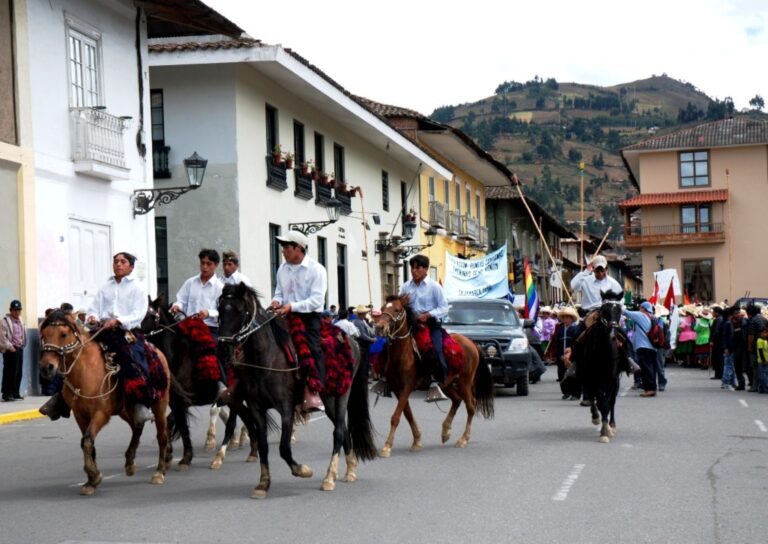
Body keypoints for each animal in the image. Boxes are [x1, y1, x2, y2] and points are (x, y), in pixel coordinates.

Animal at [38, 310, 170, 492]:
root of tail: (157, 351)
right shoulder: (80, 415)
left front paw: (94, 476)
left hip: (160, 405)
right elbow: (88, 443)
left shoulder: (100, 413)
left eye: (63, 334)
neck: (85, 371)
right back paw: (130, 462)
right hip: (125, 410)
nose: (46, 368)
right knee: (137, 427)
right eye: (43, 334)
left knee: (161, 435)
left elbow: (87, 440)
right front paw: (90, 481)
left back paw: (159, 472)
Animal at [138, 296, 258, 470]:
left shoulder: (183, 402)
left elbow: (181, 426)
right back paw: (252, 451)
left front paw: (185, 458)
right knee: (247, 417)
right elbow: (171, 424)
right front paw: (169, 455)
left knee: (233, 423)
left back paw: (219, 457)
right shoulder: (175, 402)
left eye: (149, 316)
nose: (131, 334)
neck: (178, 357)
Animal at [218, 280, 376, 498]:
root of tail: (352, 340)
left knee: (339, 431)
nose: (223, 347)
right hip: (329, 401)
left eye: (240, 311)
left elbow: (284, 447)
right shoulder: (257, 408)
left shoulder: (286, 408)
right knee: (343, 430)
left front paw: (303, 470)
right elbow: (264, 446)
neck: (267, 358)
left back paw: (329, 478)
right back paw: (349, 470)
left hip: (340, 395)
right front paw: (263, 484)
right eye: (219, 310)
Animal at [374, 294, 496, 454]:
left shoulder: (407, 386)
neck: (403, 355)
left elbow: (396, 416)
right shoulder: (397, 389)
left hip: (464, 382)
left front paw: (387, 446)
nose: (379, 327)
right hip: (446, 383)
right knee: (457, 400)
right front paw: (417, 440)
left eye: (397, 310)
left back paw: (463, 439)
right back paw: (445, 432)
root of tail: (471, 342)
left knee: (471, 406)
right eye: (382, 308)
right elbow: (407, 414)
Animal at [576, 288, 632, 442]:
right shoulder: (592, 376)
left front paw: (606, 429)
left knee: (611, 401)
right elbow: (598, 400)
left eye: (619, 309)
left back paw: (612, 424)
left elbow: (607, 402)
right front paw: (599, 423)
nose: (612, 333)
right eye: (604, 309)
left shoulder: (612, 378)